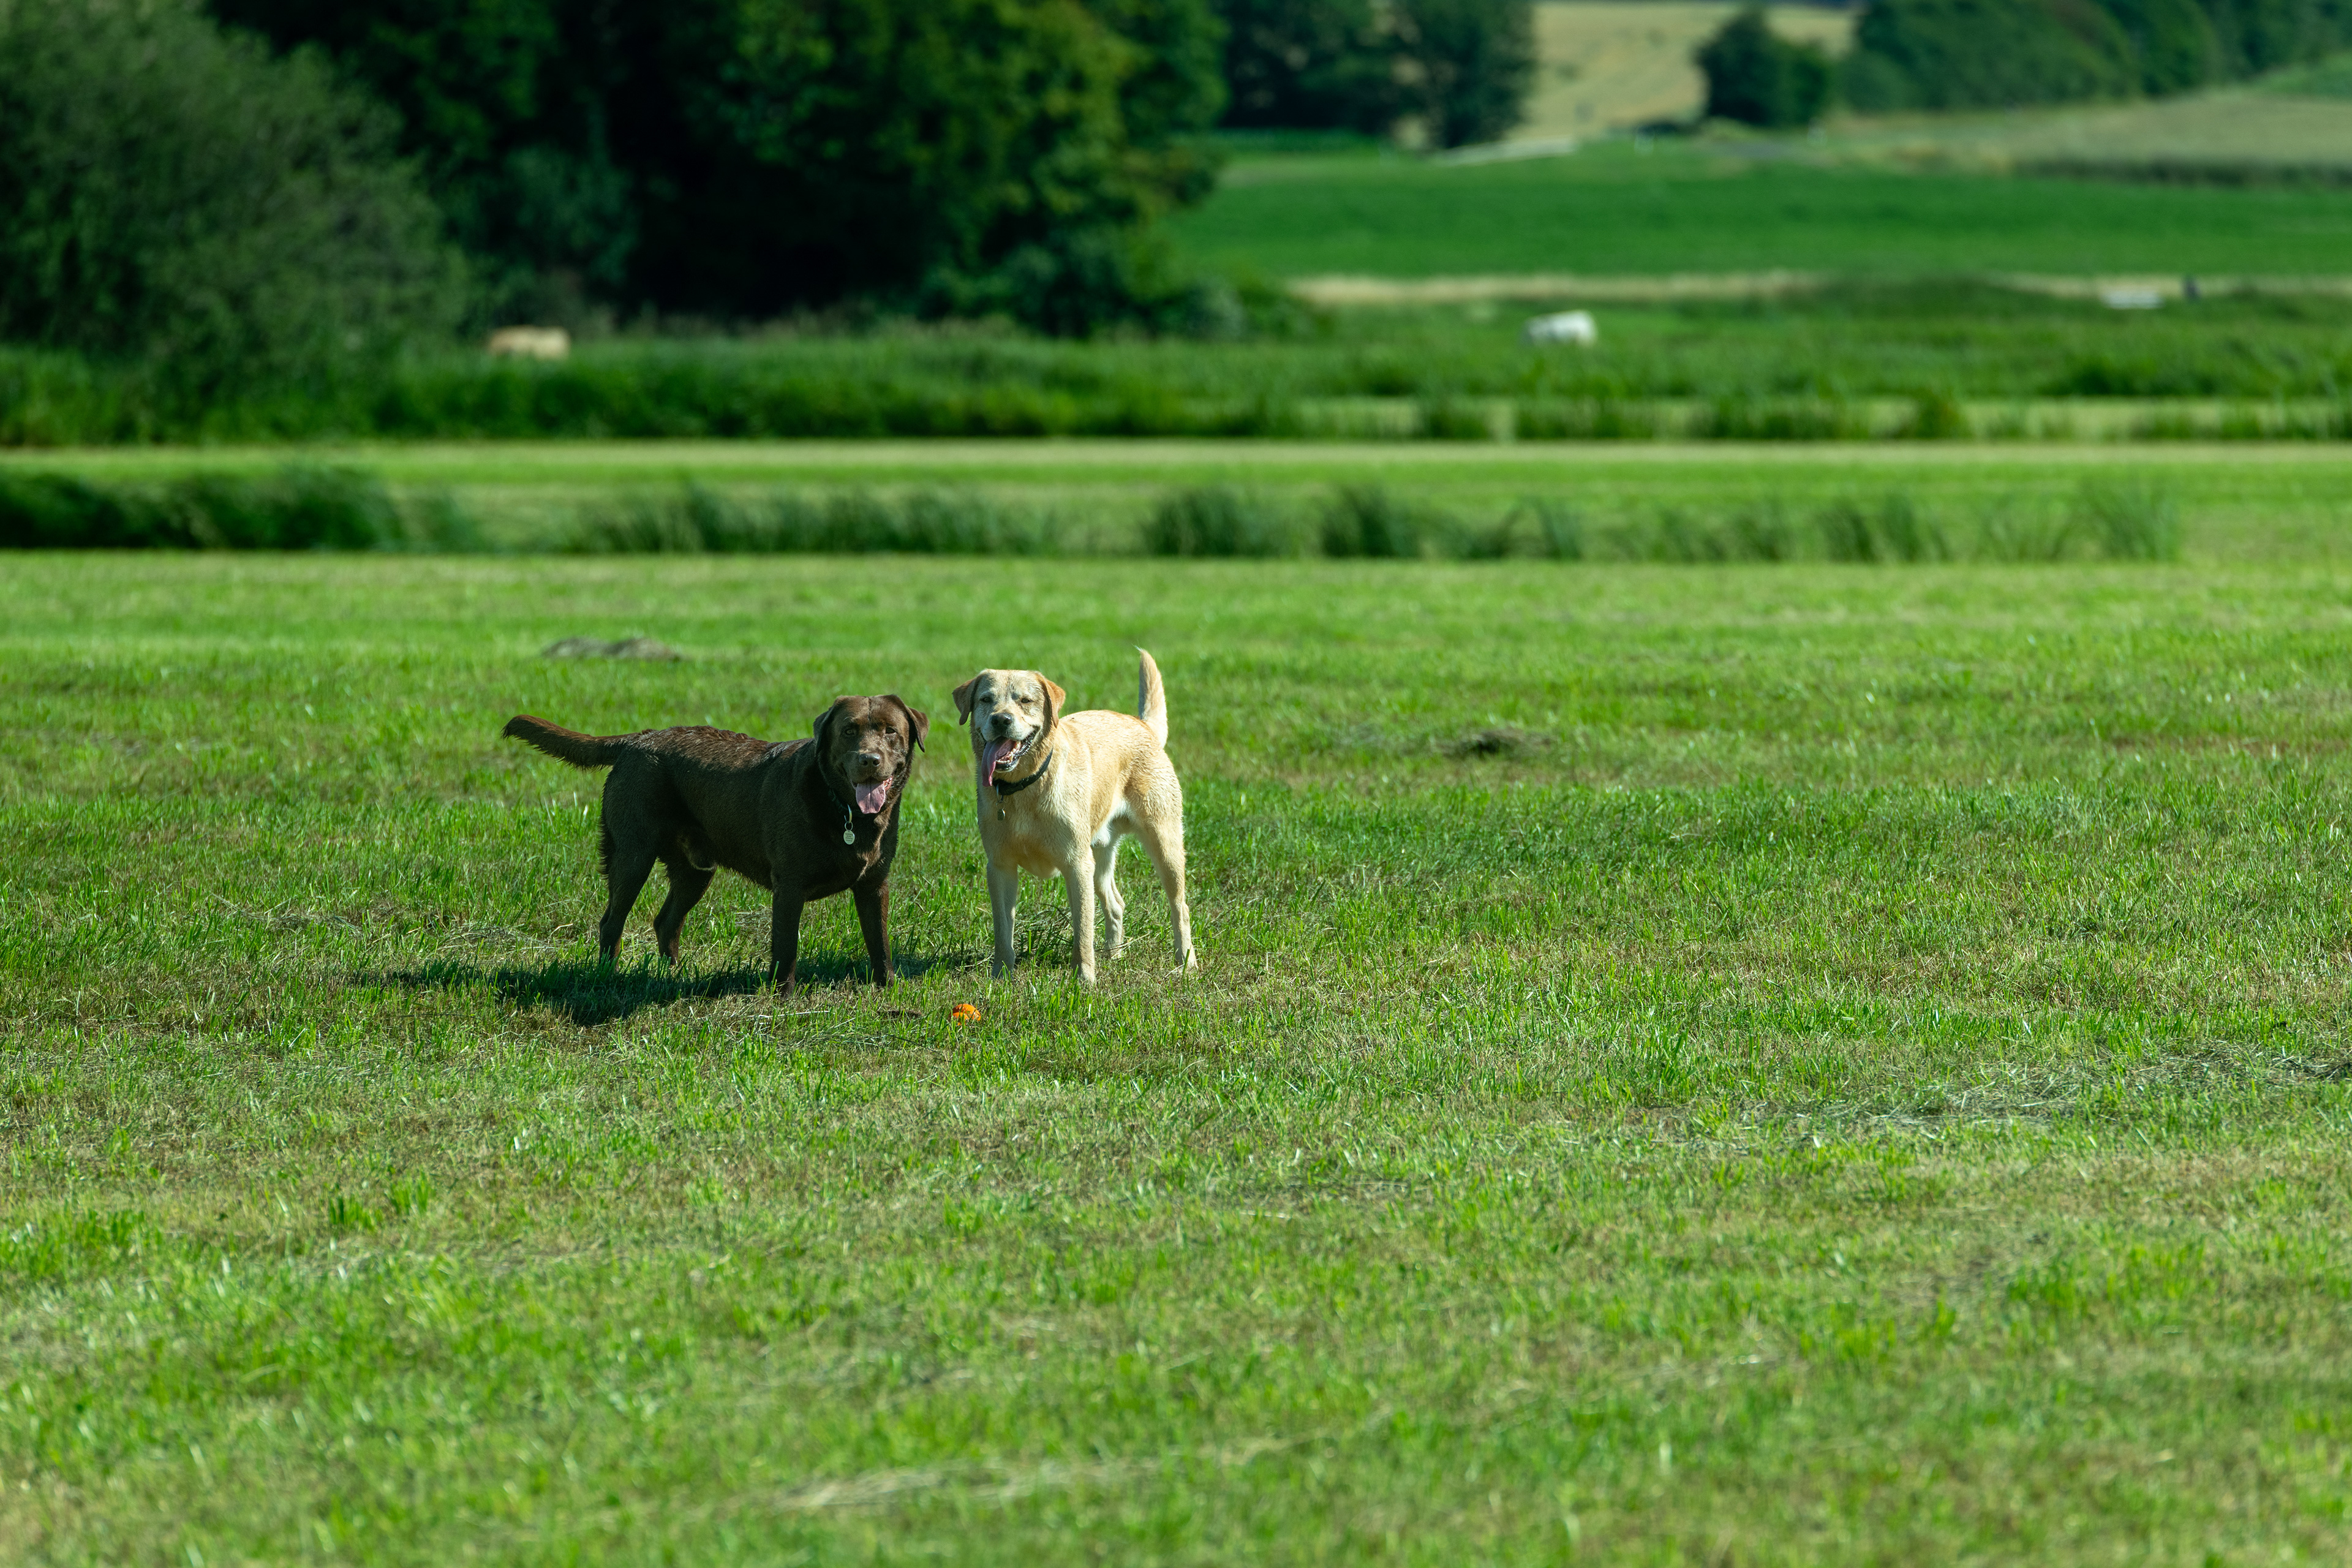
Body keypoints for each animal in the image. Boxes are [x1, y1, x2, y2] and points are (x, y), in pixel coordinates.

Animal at [502, 695, 927, 988]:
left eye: (890, 731)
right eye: (849, 731)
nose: (869, 760)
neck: (845, 811)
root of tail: (638, 740)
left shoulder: (874, 885)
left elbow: (880, 943)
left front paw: (888, 989)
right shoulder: (789, 887)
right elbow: (786, 947)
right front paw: (782, 997)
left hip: (695, 870)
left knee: (666, 922)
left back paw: (672, 977)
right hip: (633, 854)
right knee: (612, 921)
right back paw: (608, 976)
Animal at [952, 650, 1194, 983]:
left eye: (1026, 700)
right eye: (986, 700)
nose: (1001, 719)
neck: (1024, 788)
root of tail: (1142, 725)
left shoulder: (1077, 864)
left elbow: (1083, 932)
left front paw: (1085, 980)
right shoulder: (1000, 867)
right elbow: (1003, 930)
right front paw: (1001, 976)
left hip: (1163, 843)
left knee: (1180, 905)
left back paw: (1186, 962)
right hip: (1100, 855)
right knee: (1116, 904)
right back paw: (1114, 955)